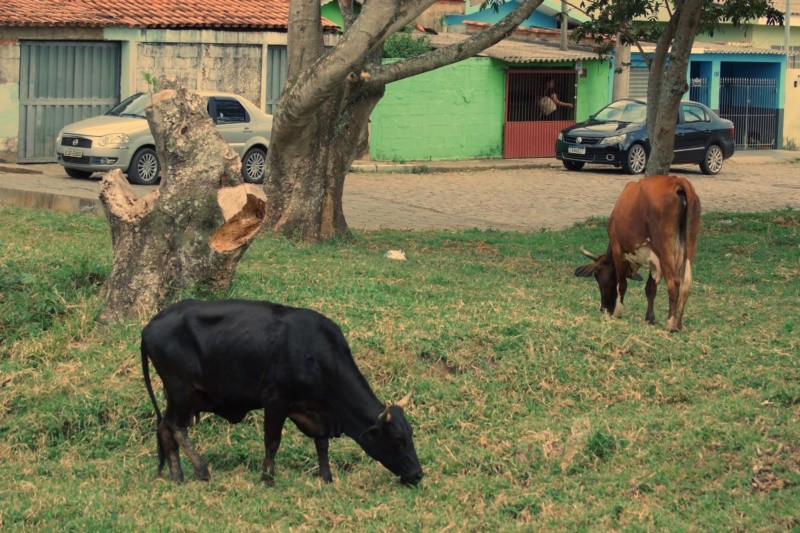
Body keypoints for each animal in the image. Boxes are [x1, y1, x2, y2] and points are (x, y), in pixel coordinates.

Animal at [141, 300, 424, 486]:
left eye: (410, 435)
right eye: (398, 439)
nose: (418, 474)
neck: (319, 356)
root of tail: (151, 324)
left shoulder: (315, 412)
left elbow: (322, 443)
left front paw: (326, 477)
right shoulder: (276, 401)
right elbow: (272, 442)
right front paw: (267, 479)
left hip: (180, 396)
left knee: (165, 428)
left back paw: (178, 477)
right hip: (181, 390)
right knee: (176, 427)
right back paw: (201, 470)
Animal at [576, 175, 700, 330]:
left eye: (598, 276)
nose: (604, 309)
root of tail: (676, 181)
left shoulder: (618, 251)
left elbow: (622, 285)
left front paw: (618, 312)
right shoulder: (653, 260)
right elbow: (650, 289)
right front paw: (650, 318)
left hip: (664, 249)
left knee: (674, 282)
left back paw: (671, 324)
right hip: (690, 243)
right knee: (686, 282)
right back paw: (679, 324)